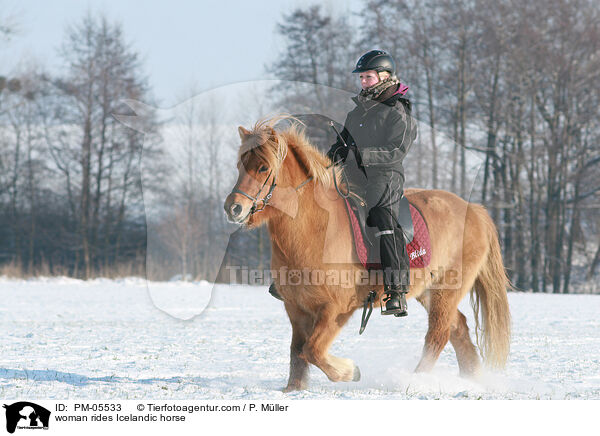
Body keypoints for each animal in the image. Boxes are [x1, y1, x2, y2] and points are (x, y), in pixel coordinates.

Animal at [225, 116, 510, 392]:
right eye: (239, 166)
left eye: (263, 168)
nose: (233, 208)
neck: (316, 229)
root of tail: (474, 210)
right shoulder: (296, 308)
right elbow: (297, 353)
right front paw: (293, 389)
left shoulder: (336, 309)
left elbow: (312, 350)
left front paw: (350, 372)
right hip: (429, 291)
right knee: (458, 329)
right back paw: (471, 380)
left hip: (447, 288)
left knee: (438, 335)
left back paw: (413, 380)